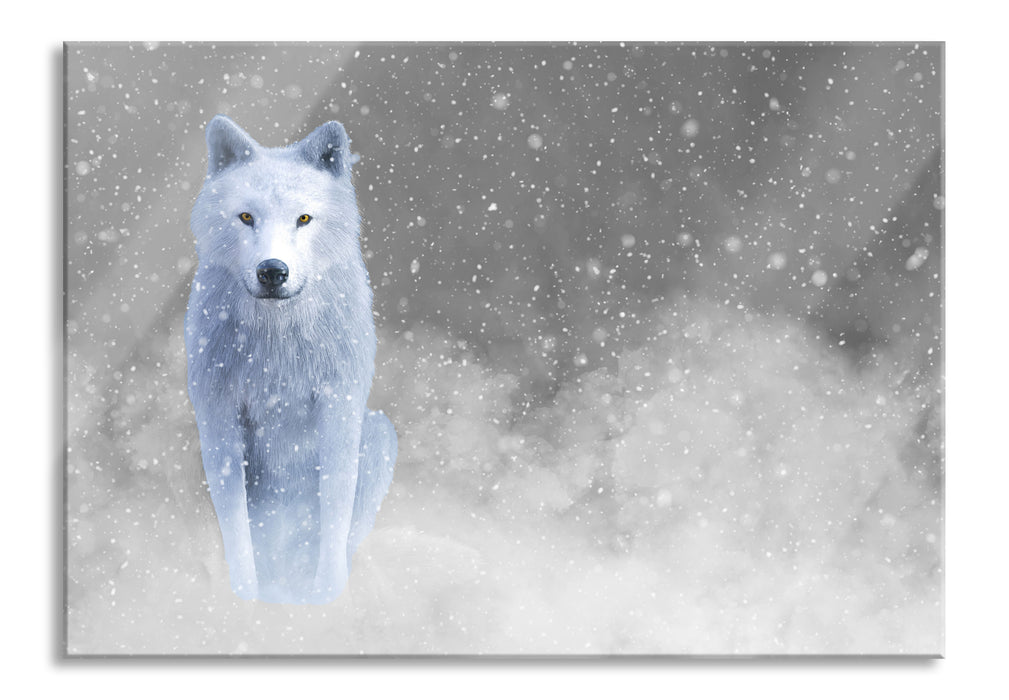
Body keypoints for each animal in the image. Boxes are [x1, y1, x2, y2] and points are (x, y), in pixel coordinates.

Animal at [185, 115, 397, 604]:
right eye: (246, 216)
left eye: (303, 218)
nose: (272, 271)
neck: (276, 345)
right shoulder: (218, 416)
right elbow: (236, 526)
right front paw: (244, 599)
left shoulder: (339, 407)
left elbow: (335, 509)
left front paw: (326, 600)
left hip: (379, 432)